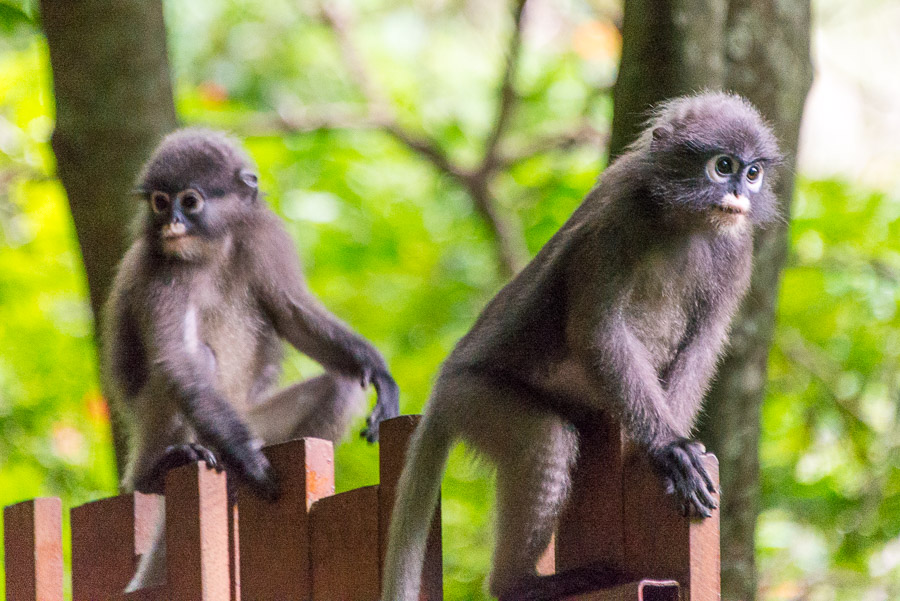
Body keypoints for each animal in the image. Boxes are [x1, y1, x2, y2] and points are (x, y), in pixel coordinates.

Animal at [103, 127, 400, 592]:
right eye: (160, 202)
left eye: (190, 201)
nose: (171, 223)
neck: (215, 247)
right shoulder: (160, 268)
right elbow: (177, 360)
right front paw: (249, 460)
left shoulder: (263, 236)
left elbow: (294, 315)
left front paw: (381, 376)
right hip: (187, 427)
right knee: (198, 363)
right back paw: (158, 472)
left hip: (252, 419)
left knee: (342, 385)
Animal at [380, 91, 780, 596]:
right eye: (723, 166)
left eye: (753, 173)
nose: (740, 194)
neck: (684, 223)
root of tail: (439, 393)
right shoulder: (616, 223)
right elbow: (596, 331)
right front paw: (669, 448)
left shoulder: (736, 250)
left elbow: (703, 346)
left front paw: (671, 450)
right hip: (469, 396)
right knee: (545, 439)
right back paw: (519, 584)